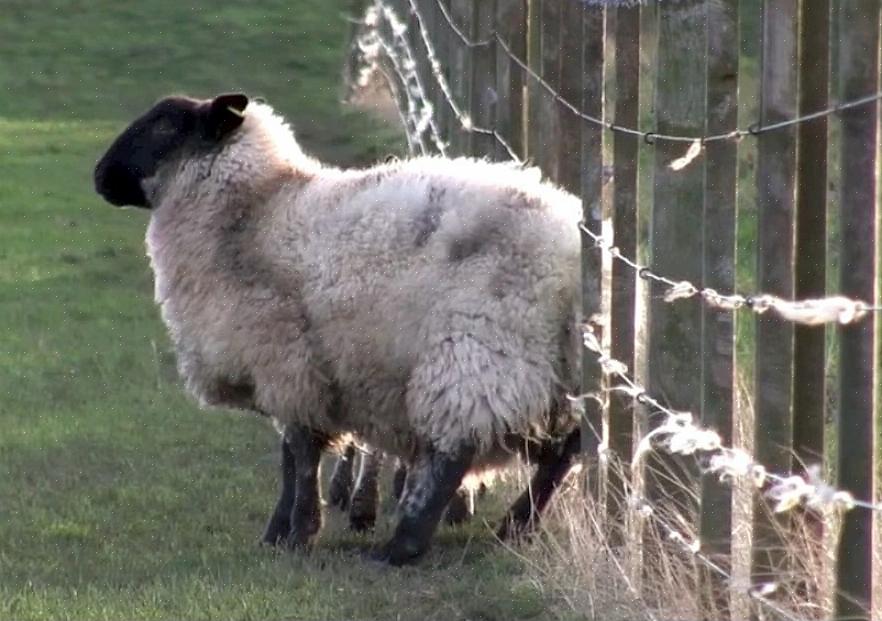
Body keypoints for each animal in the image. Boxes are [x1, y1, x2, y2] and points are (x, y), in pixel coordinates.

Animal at [93, 94, 588, 564]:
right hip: (543, 371)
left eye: (165, 125)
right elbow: (294, 453)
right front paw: (281, 533)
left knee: (458, 449)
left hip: (478, 349)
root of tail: (569, 247)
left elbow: (299, 453)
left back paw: (404, 546)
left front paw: (296, 531)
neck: (256, 211)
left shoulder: (286, 361)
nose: (99, 176)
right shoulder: (297, 373)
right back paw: (516, 526)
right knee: (563, 447)